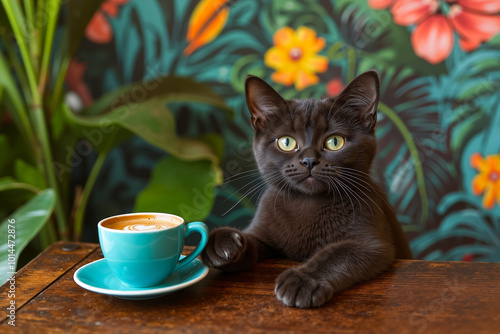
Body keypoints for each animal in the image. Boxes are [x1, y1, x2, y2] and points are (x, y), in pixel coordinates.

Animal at [201, 70, 412, 308]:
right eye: (286, 142)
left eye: (335, 142)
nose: (309, 161)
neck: (308, 202)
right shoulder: (264, 234)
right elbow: (251, 244)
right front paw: (221, 242)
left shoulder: (373, 244)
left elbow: (335, 254)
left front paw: (303, 280)